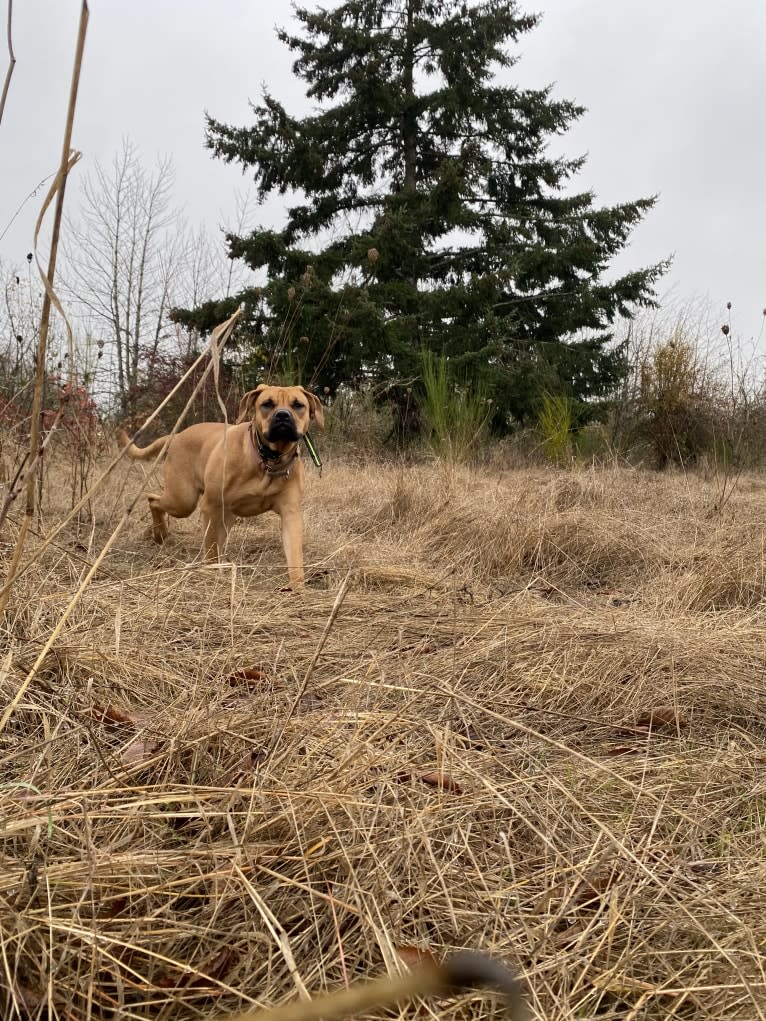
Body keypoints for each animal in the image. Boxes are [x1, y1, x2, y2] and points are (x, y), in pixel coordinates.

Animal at [116, 383, 324, 592]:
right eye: (267, 404)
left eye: (298, 405)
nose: (282, 415)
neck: (267, 460)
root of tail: (176, 436)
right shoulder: (210, 506)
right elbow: (210, 548)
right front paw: (211, 574)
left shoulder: (291, 513)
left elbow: (295, 554)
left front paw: (297, 587)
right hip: (182, 500)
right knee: (153, 499)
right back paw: (160, 534)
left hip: (223, 514)